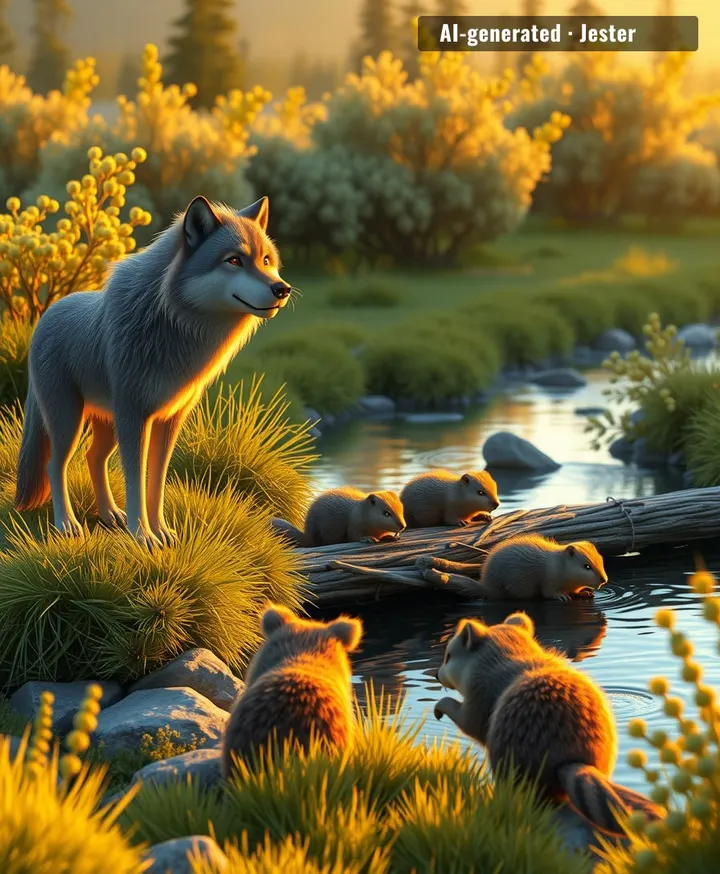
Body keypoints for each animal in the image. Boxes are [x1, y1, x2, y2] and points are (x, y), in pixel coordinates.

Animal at [15, 195, 292, 548]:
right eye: (234, 260)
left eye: (266, 260)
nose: (282, 289)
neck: (172, 321)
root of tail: (44, 317)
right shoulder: (135, 417)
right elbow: (135, 480)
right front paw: (143, 536)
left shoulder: (168, 420)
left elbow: (156, 481)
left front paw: (160, 531)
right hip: (69, 422)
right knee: (55, 465)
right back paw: (67, 525)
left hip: (106, 425)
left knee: (93, 458)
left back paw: (110, 515)